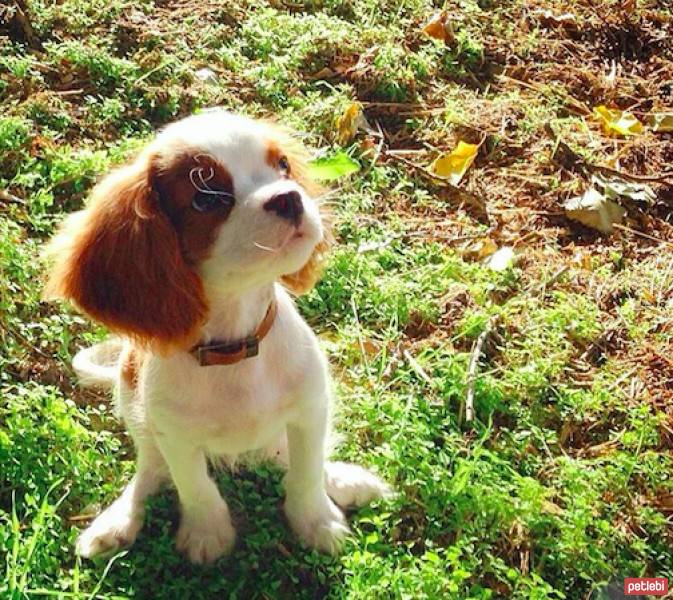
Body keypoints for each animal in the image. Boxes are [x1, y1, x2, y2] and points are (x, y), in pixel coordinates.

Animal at [44, 110, 392, 564]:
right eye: (206, 199)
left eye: (282, 166)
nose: (288, 197)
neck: (235, 347)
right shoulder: (174, 435)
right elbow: (194, 485)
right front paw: (208, 533)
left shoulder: (310, 409)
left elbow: (306, 471)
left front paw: (316, 520)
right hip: (131, 396)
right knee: (151, 468)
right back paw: (118, 521)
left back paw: (345, 480)